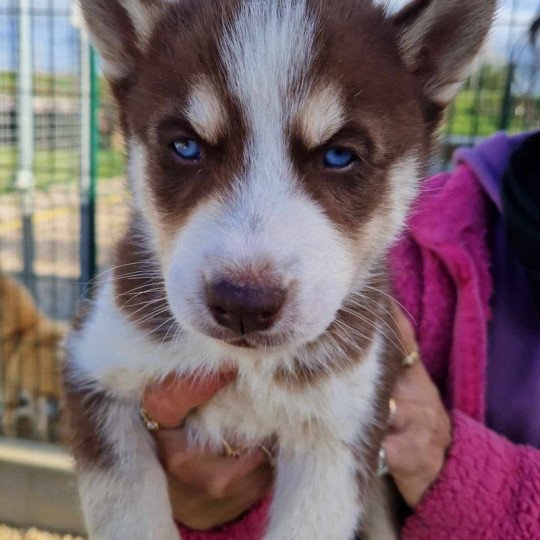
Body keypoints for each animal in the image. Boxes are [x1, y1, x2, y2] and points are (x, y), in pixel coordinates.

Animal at [63, 2, 494, 536]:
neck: (248, 370)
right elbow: (127, 511)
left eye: (339, 155)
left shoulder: (341, 432)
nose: (243, 304)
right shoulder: (94, 368)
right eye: (186, 147)